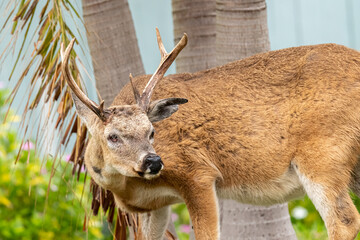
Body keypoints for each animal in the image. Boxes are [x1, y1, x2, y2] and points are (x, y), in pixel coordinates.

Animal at [60, 28, 360, 240]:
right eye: (113, 136)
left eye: (152, 131)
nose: (153, 161)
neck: (128, 186)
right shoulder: (153, 206)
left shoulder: (198, 174)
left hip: (323, 154)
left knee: (344, 221)